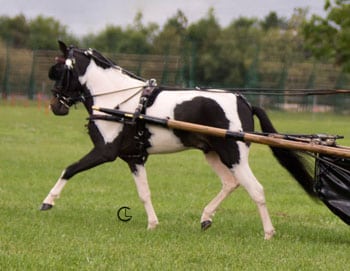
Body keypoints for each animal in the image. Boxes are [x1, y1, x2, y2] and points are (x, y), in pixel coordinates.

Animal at [40, 41, 314, 240]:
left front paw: (47, 202)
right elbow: (144, 193)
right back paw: (206, 217)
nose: (55, 106)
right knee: (230, 183)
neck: (118, 102)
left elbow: (69, 169)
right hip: (212, 153)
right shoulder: (134, 158)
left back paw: (268, 233)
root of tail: (244, 102)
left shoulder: (104, 152)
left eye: (58, 72)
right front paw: (152, 224)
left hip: (233, 155)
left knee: (256, 189)